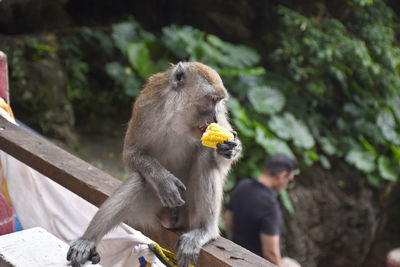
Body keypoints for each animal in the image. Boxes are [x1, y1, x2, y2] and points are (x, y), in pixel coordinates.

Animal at [67, 61, 242, 266]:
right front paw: (164, 180)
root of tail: (173, 219)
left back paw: (204, 230)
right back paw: (87, 241)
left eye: (219, 102)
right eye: (211, 99)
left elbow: (220, 159)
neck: (178, 118)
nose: (214, 118)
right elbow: (132, 153)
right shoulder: (146, 106)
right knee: (140, 181)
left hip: (189, 211)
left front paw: (232, 148)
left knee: (205, 156)